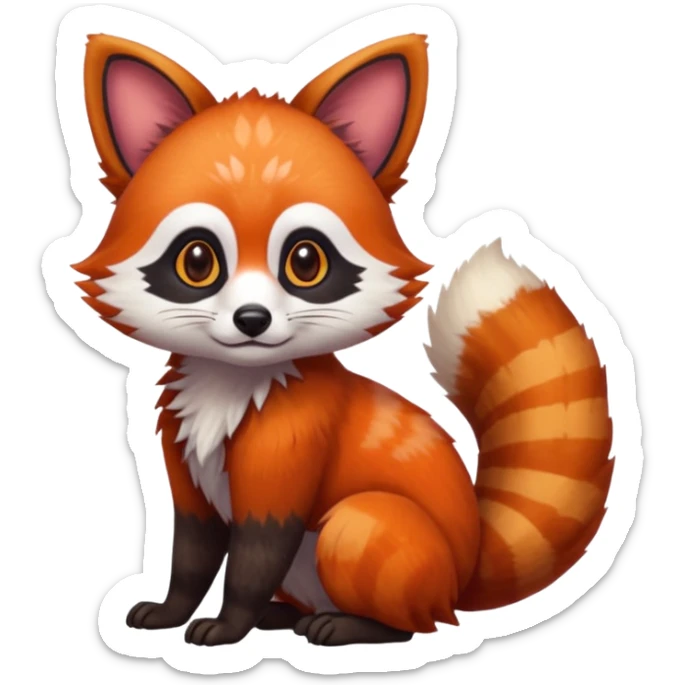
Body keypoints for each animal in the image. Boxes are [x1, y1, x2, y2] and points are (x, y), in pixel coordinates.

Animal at [70, 32, 614, 647]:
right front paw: (173, 610)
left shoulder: (287, 464)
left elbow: (251, 563)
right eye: (198, 260)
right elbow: (190, 558)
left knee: (411, 624)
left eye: (305, 261)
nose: (252, 319)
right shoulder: (188, 474)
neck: (230, 391)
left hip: (360, 529)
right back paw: (282, 617)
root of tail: (465, 568)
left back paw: (347, 626)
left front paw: (229, 624)